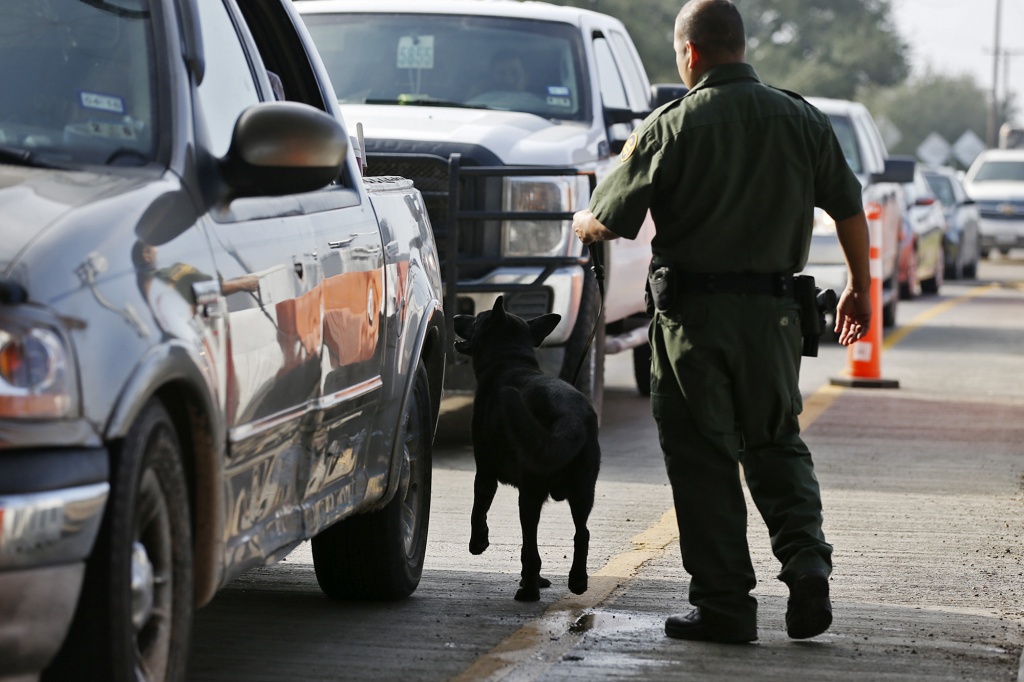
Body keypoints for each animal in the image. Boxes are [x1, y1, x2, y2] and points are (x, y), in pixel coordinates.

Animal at [454, 294, 598, 598]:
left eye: (478, 318)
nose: (456, 317)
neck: (510, 361)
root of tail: (569, 417)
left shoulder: (484, 473)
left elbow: (478, 510)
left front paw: (478, 542)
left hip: (530, 495)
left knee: (531, 545)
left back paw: (529, 591)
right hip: (583, 492)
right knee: (582, 533)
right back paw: (576, 581)